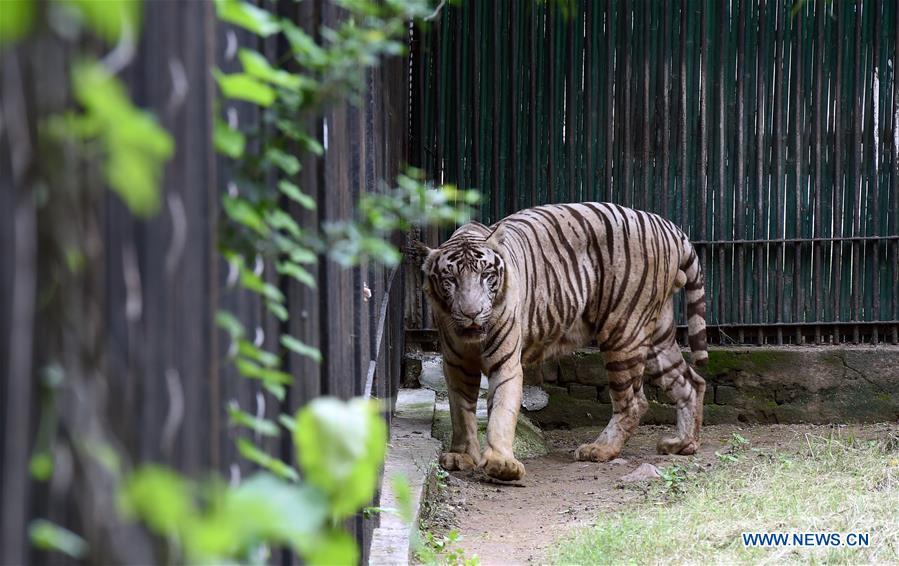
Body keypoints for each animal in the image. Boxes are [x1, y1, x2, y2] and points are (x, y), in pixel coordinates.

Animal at [411, 202, 708, 481]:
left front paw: (501, 463)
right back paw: (682, 444)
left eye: (486, 275)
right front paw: (461, 456)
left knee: (634, 402)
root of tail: (669, 227)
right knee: (691, 382)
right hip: (657, 335)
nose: (472, 313)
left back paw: (600, 449)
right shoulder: (457, 365)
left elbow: (501, 411)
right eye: (450, 280)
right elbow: (461, 412)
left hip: (623, 330)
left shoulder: (505, 362)